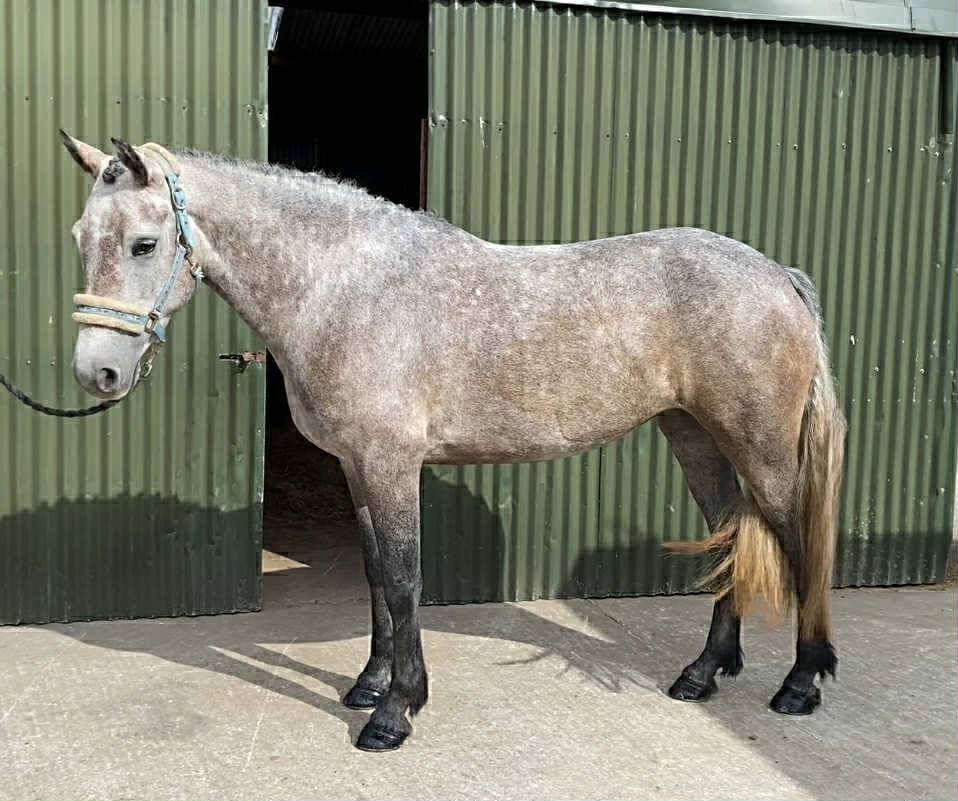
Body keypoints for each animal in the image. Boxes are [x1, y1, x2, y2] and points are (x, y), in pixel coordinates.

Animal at [60, 132, 846, 752]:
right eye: (78, 239)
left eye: (144, 244)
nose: (98, 372)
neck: (343, 287)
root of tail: (778, 275)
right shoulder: (356, 467)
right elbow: (377, 575)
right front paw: (369, 684)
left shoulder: (390, 464)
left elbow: (406, 579)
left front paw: (395, 713)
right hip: (694, 436)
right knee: (729, 536)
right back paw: (703, 673)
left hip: (761, 447)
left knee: (797, 539)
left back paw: (801, 682)